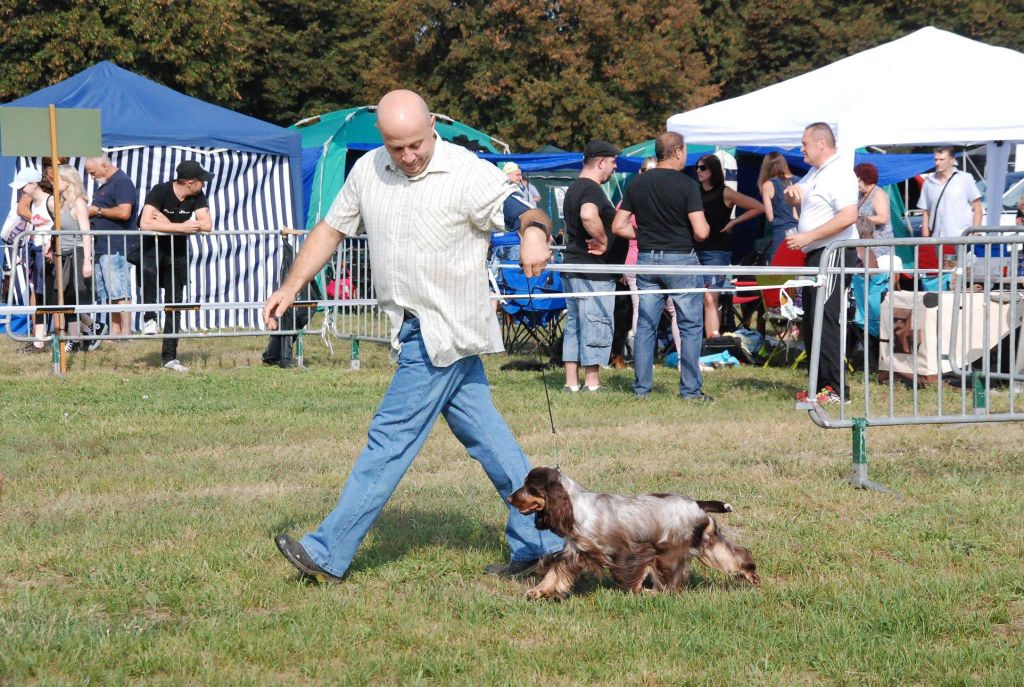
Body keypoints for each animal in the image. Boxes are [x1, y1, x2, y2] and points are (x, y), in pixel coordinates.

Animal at [509, 466, 759, 600]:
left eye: (530, 487)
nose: (510, 498)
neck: (576, 508)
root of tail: (697, 503)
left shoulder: (629, 551)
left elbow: (629, 577)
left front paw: (635, 591)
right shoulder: (574, 552)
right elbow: (555, 572)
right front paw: (538, 592)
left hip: (669, 553)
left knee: (668, 585)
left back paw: (652, 593)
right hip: (709, 541)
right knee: (734, 556)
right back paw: (751, 576)